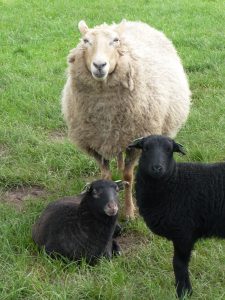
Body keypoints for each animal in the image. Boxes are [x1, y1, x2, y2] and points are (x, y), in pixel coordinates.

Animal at [60, 19, 191, 219]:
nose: (99, 65)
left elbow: (128, 177)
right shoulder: (96, 144)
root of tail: (133, 22)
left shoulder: (135, 142)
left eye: (115, 41)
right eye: (86, 41)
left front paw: (129, 212)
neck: (106, 112)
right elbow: (105, 177)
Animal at [129, 135, 225, 298]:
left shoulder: (184, 232)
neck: (175, 182)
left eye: (169, 150)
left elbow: (178, 264)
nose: (157, 168)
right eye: (146, 148)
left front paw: (184, 292)